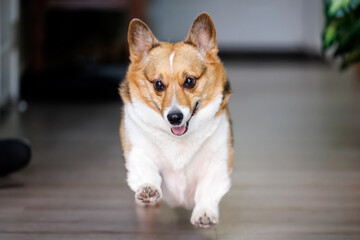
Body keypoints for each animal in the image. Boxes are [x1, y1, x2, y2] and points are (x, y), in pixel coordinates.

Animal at [119, 12, 233, 228]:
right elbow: (146, 169)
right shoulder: (138, 149)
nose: (174, 117)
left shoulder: (218, 162)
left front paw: (204, 212)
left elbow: (207, 188)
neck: (179, 140)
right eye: (158, 84)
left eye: (190, 81)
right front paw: (148, 188)